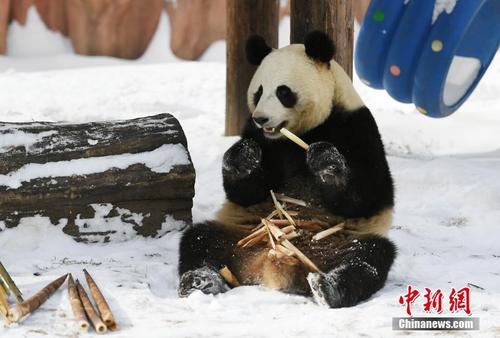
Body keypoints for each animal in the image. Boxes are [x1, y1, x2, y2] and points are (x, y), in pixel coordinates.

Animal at [178, 30, 396, 308]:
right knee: (198, 241)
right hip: (240, 234)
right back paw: (199, 281)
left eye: (283, 92)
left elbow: (368, 194)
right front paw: (244, 157)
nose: (261, 118)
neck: (297, 134)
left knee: (368, 257)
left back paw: (328, 287)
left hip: (341, 239)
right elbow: (246, 192)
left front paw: (325, 161)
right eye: (258, 92)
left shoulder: (357, 127)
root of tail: (271, 263)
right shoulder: (259, 136)